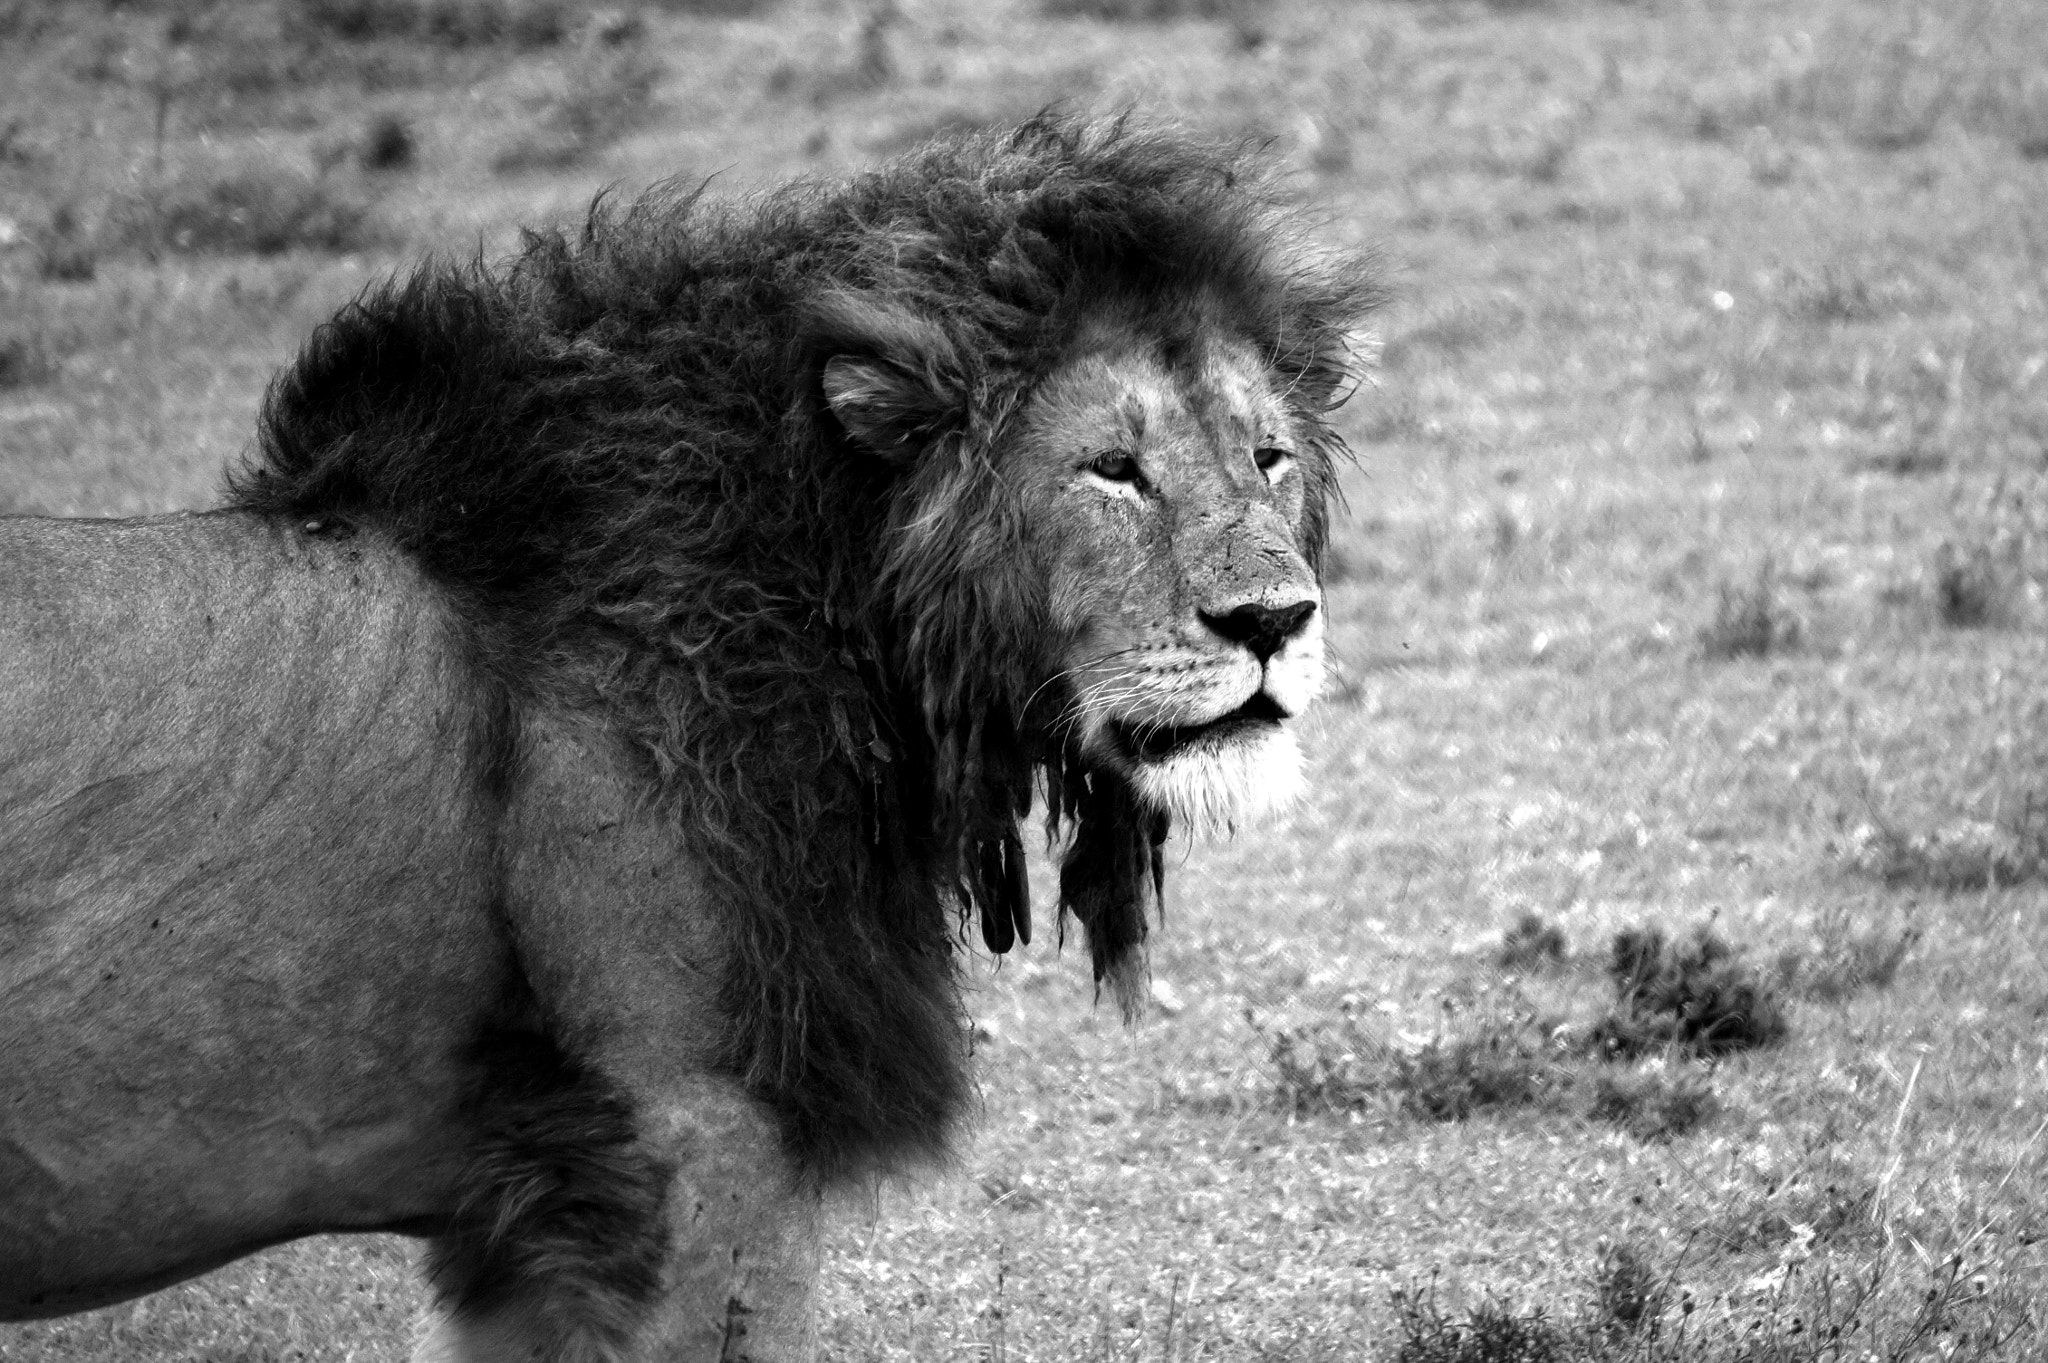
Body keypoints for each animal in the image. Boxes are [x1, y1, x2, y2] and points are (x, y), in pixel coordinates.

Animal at [0, 115, 1379, 1361]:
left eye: (1266, 458)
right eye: (1111, 469)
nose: (1273, 619)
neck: (836, 600)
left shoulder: (527, 1216)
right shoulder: (692, 1140)